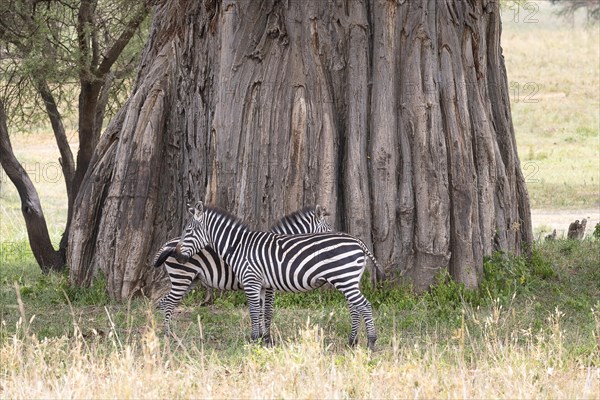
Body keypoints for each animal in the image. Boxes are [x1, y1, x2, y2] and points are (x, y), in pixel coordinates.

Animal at [154, 205, 332, 336]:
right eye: (329, 231)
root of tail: (168, 244)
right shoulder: (269, 286)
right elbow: (267, 311)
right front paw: (266, 336)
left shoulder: (263, 284)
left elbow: (262, 311)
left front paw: (263, 336)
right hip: (182, 278)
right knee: (168, 303)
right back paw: (169, 335)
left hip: (189, 280)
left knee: (164, 302)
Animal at [176, 202, 386, 348]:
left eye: (188, 230)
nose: (178, 255)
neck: (238, 246)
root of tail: (358, 242)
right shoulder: (261, 285)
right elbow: (261, 311)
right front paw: (263, 339)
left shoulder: (253, 282)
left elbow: (257, 312)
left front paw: (255, 340)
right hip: (348, 280)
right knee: (356, 307)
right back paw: (353, 341)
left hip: (345, 279)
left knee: (364, 306)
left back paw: (370, 343)